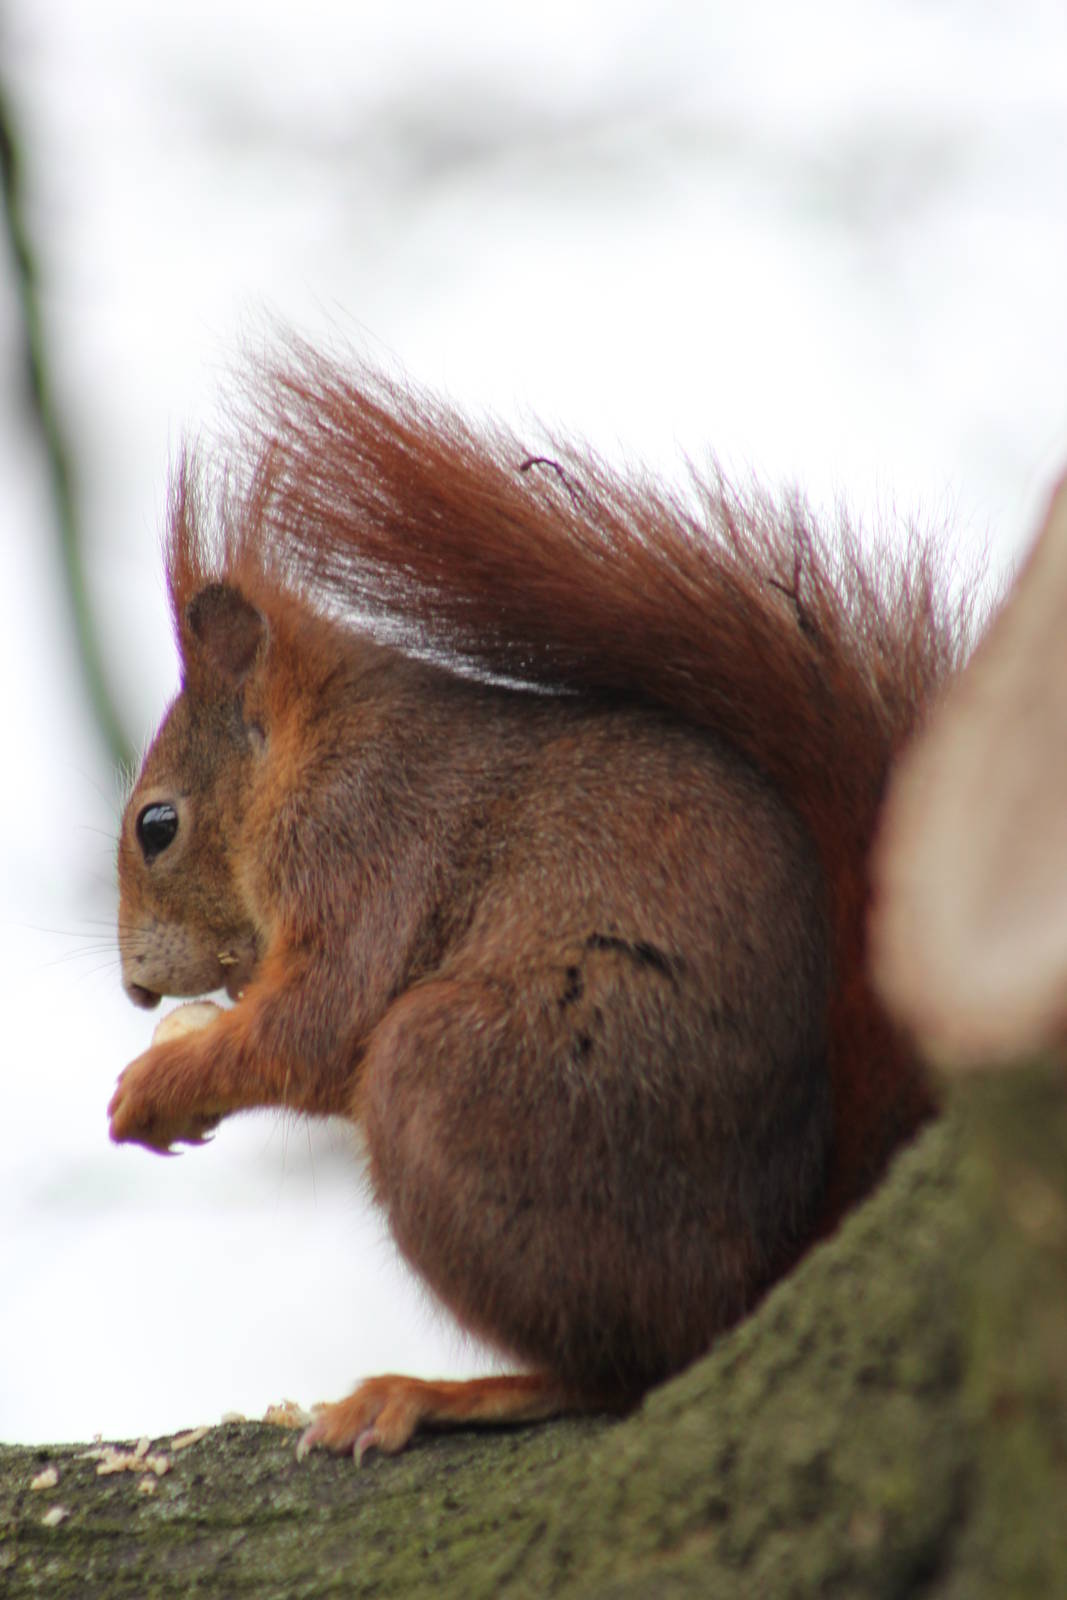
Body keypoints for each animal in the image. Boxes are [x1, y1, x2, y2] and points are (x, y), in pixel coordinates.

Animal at [109, 344, 969, 1460]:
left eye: (156, 825)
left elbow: (318, 1022)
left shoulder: (358, 837)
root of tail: (761, 1274)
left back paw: (445, 1391)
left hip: (468, 1082)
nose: (134, 989)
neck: (317, 740)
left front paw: (160, 1083)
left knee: (620, 1369)